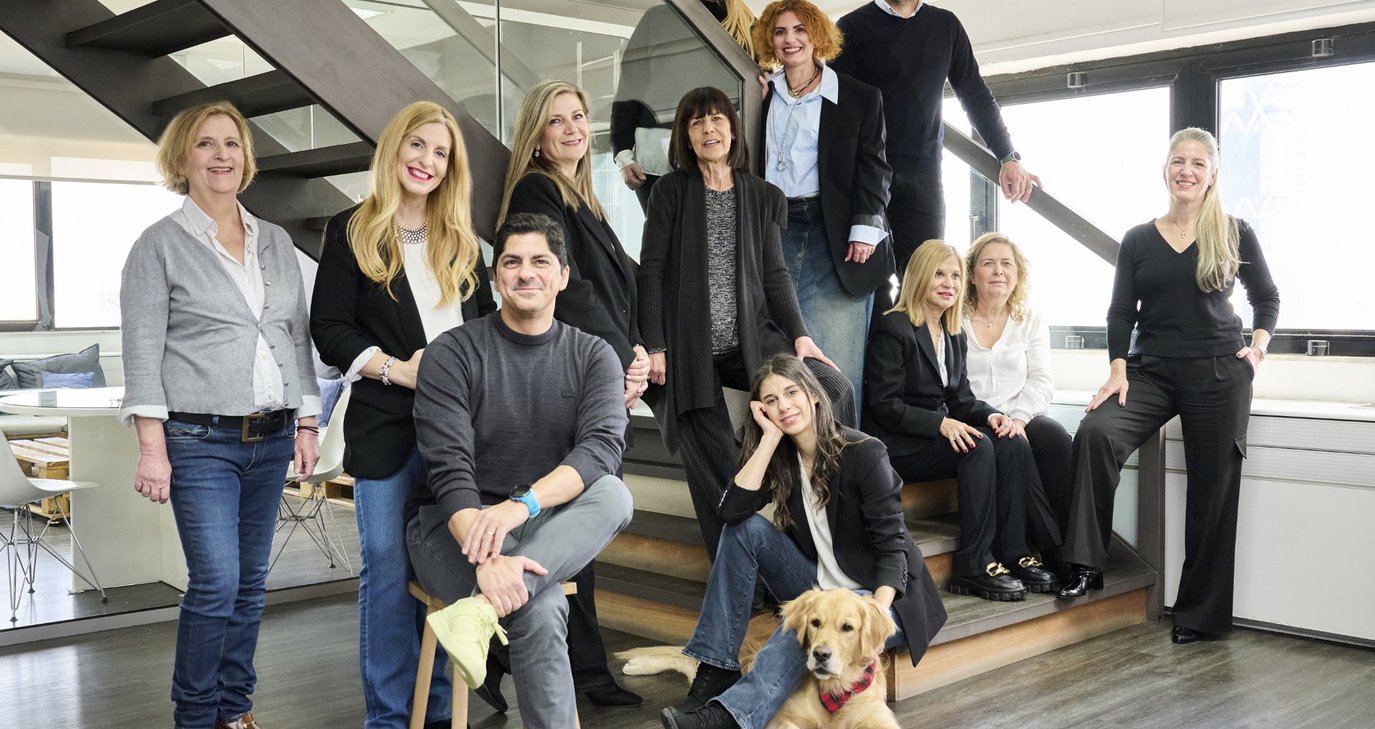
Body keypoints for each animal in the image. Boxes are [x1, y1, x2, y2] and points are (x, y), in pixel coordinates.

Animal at [620, 587, 899, 728]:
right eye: (815, 623)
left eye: (847, 628)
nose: (820, 655)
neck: (833, 691)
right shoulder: (781, 718)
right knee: (688, 662)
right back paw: (636, 666)